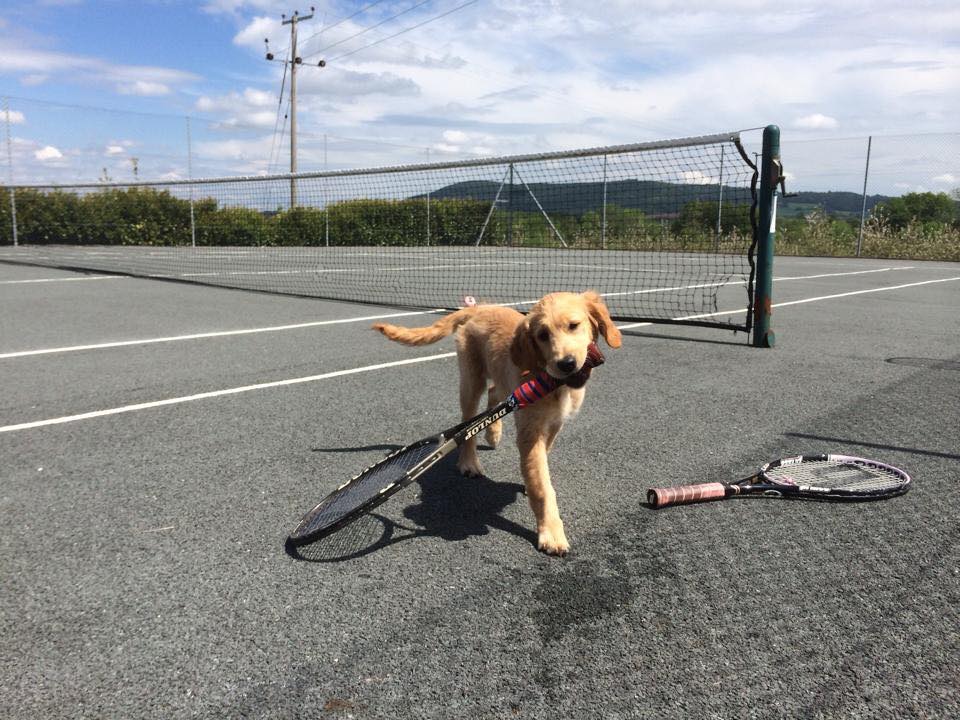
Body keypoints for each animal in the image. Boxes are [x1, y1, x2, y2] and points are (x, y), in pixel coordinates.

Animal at [368, 290, 624, 556]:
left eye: (574, 325)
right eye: (542, 335)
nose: (566, 364)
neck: (553, 383)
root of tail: (479, 308)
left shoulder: (554, 422)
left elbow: (542, 459)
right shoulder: (530, 432)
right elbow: (542, 487)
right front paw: (551, 532)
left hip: (500, 378)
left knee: (494, 393)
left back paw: (493, 433)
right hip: (472, 381)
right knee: (468, 423)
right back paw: (469, 462)